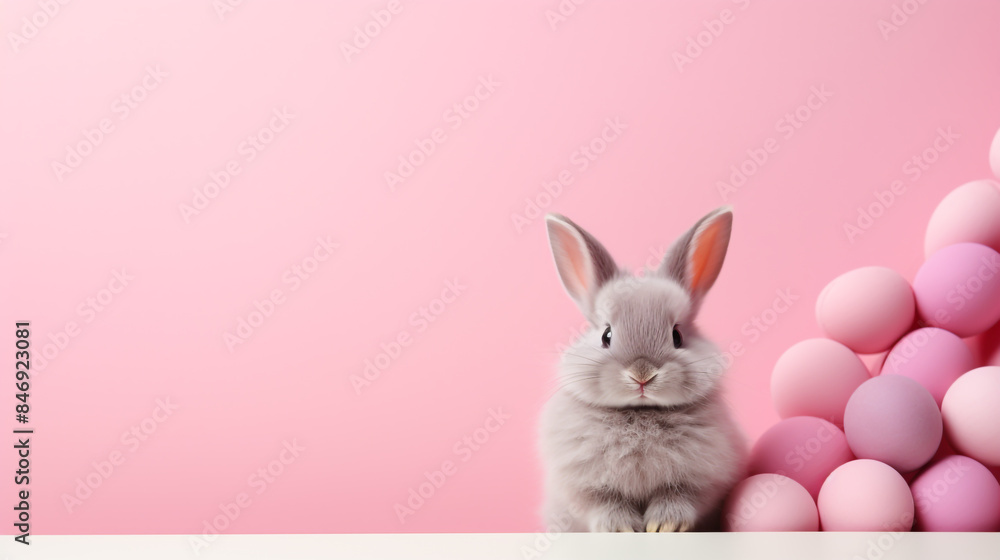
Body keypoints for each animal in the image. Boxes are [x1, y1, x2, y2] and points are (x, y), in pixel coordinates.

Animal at [539, 206, 748, 533]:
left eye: (677, 336)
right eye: (606, 335)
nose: (642, 374)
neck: (640, 413)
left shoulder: (702, 482)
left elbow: (680, 497)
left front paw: (664, 525)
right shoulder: (583, 488)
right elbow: (603, 504)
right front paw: (622, 528)